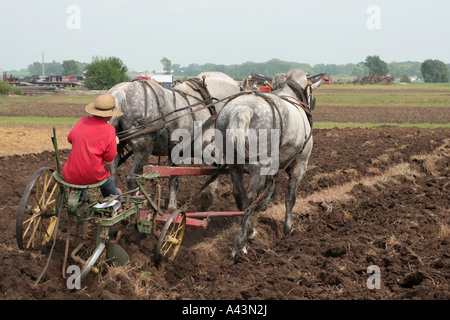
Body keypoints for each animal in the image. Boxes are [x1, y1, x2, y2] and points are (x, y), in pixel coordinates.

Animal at [108, 72, 243, 210]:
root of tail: (120, 91)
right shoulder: (201, 145)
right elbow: (178, 177)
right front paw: (208, 195)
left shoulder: (174, 149)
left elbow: (173, 176)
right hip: (143, 148)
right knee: (132, 179)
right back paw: (132, 208)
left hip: (117, 146)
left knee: (112, 177)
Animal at [214, 69, 320, 256]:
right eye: (311, 93)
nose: (312, 103)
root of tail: (243, 108)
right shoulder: (300, 164)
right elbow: (290, 197)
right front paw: (287, 229)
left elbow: (270, 185)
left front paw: (264, 204)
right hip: (259, 166)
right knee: (250, 196)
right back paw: (240, 242)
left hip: (234, 163)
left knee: (239, 194)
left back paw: (250, 230)